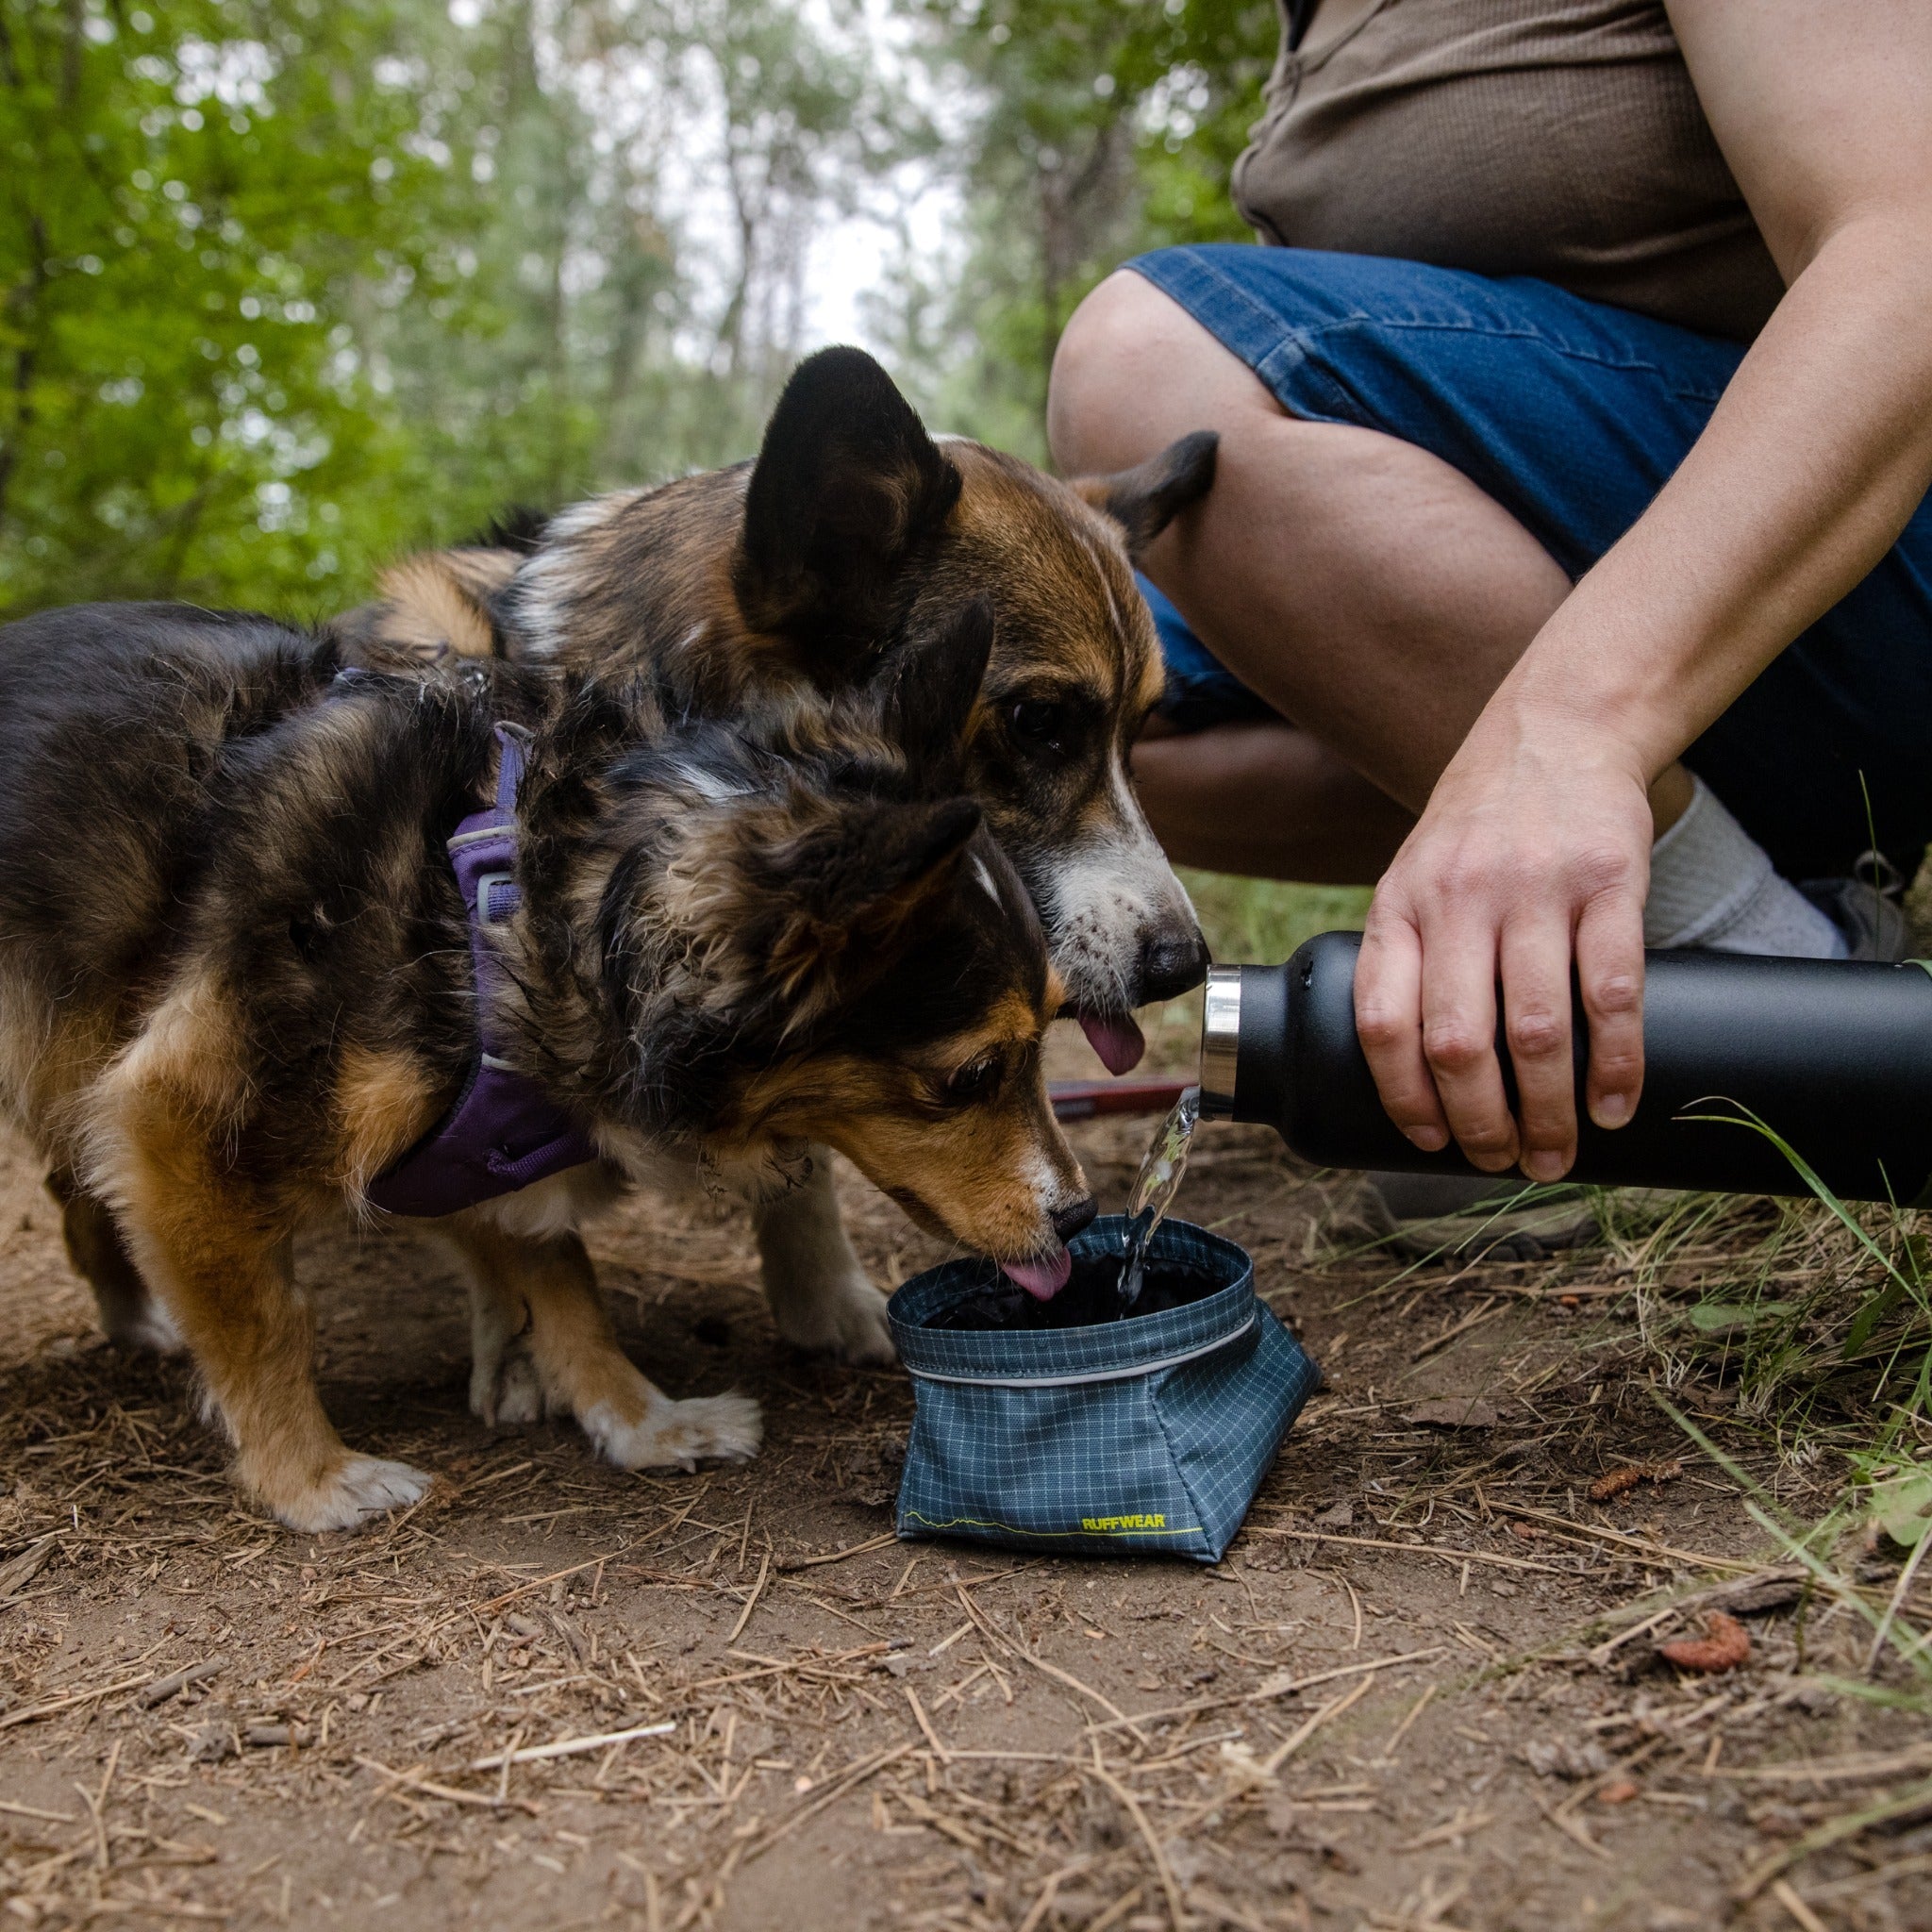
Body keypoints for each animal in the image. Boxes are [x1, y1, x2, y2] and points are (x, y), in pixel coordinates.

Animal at [0, 594, 1090, 1530]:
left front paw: (643, 1421)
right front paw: (309, 1478)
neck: (501, 907)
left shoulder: (490, 1137)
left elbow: (566, 1292)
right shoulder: (174, 1109)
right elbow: (269, 1322)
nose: (1079, 1217)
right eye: (971, 1076)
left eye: (1052, 1029)